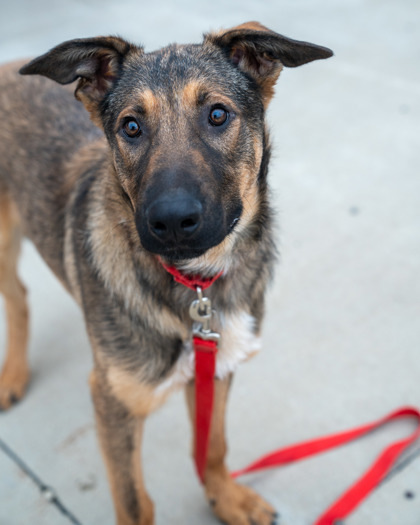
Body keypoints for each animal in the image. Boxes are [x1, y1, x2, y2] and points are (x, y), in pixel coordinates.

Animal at [0, 21, 332, 524]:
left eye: (218, 114)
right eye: (131, 127)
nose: (172, 221)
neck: (195, 284)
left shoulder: (216, 368)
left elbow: (213, 445)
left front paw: (225, 498)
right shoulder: (113, 401)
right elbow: (134, 502)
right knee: (17, 295)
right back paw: (13, 375)